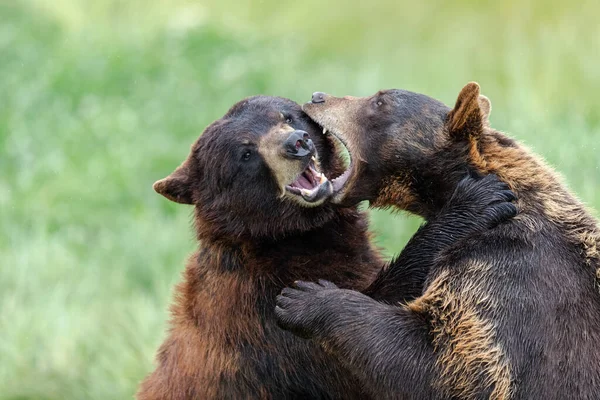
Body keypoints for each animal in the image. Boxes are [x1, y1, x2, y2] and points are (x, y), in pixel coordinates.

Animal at [136, 95, 516, 398]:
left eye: (287, 116)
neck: (286, 239)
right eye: (245, 153)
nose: (297, 143)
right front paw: (475, 201)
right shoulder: (262, 316)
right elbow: (371, 335)